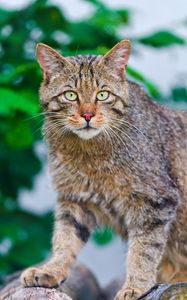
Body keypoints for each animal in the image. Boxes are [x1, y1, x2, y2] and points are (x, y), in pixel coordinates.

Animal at [20, 40, 187, 300]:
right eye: (70, 95)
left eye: (102, 95)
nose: (88, 114)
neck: (89, 154)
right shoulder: (73, 199)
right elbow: (64, 240)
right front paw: (52, 270)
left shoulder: (157, 201)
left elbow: (144, 251)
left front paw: (136, 285)